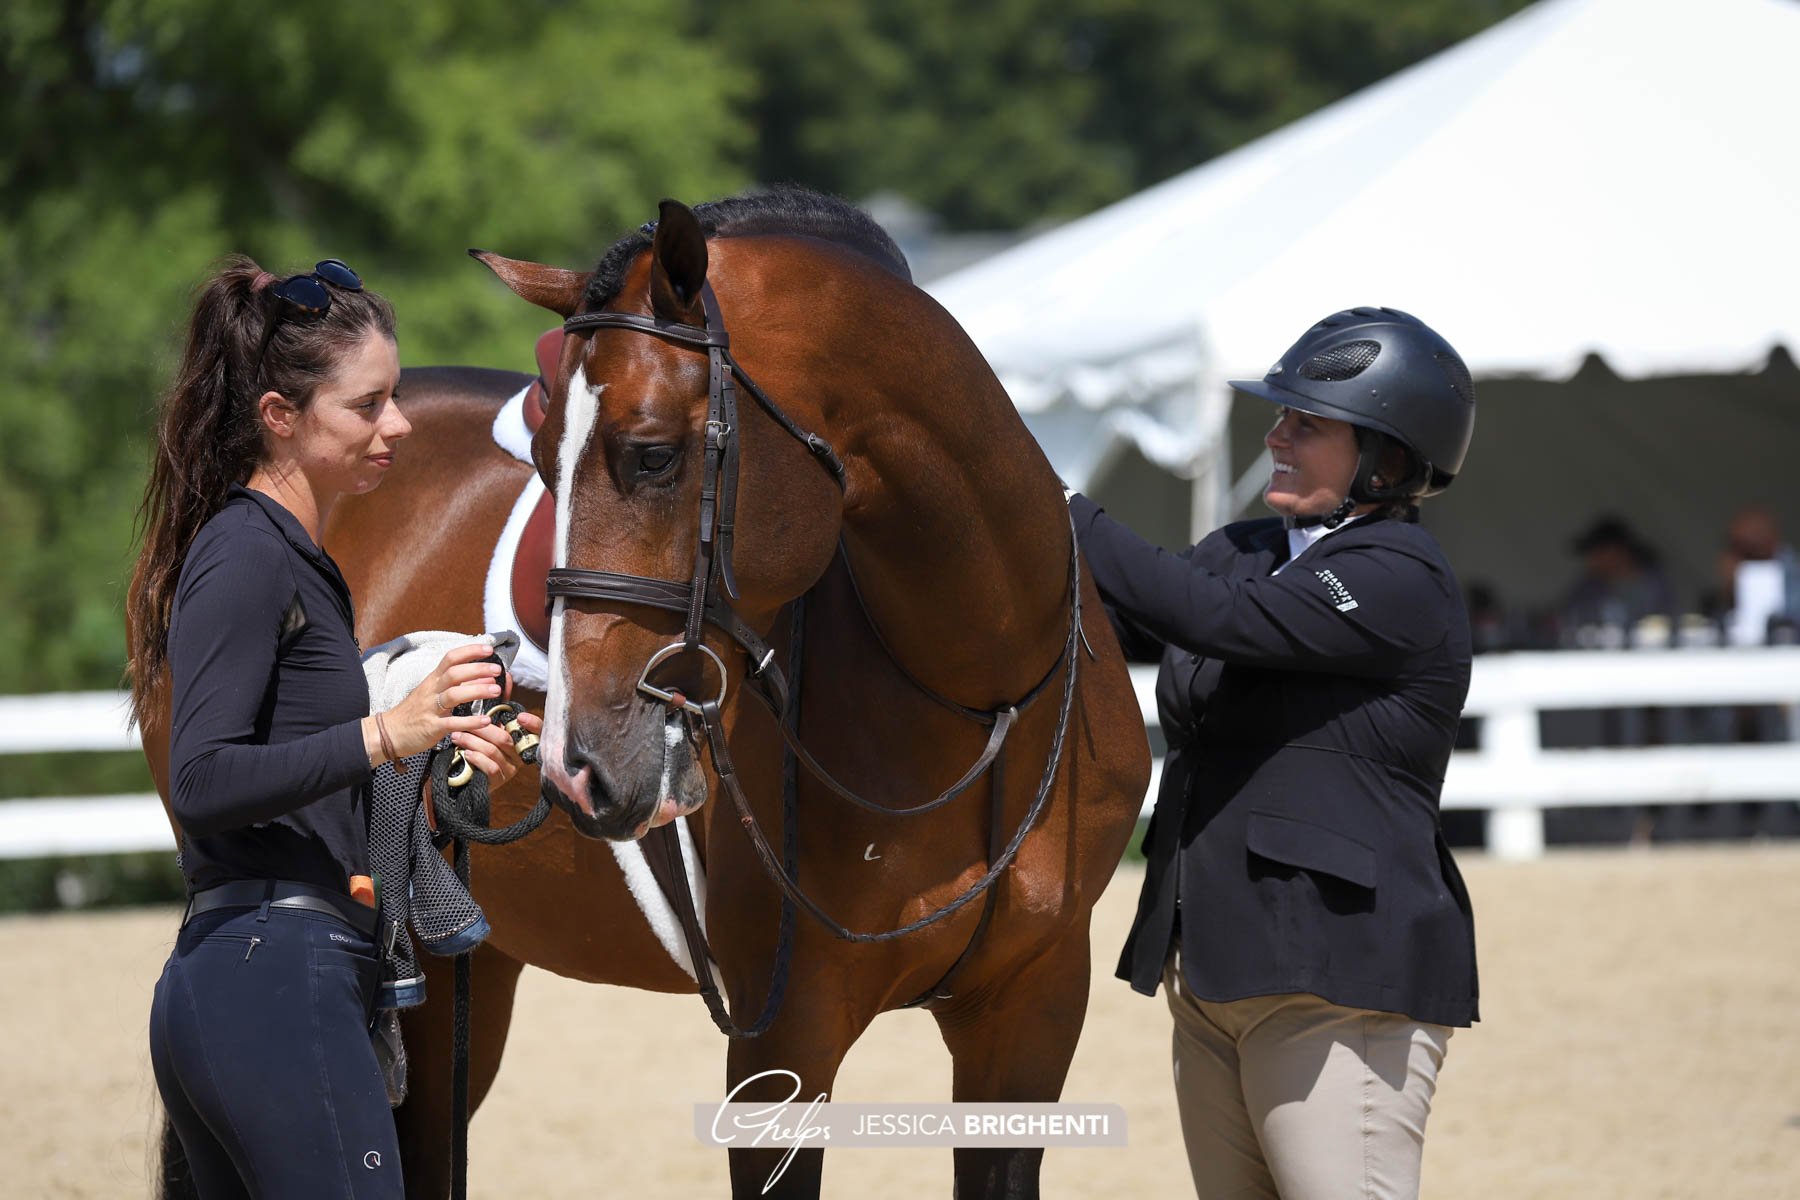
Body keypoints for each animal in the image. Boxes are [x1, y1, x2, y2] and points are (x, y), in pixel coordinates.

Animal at [144, 192, 1152, 1194]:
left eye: (656, 456)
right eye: (544, 458)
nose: (573, 764)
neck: (978, 694)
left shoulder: (1031, 1011)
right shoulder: (785, 1036)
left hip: (469, 966)